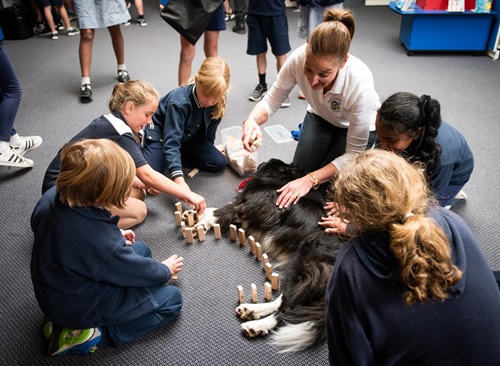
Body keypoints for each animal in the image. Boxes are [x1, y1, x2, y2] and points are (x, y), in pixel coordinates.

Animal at [197, 159, 342, 352]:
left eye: (273, 164)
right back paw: (251, 311)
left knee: (287, 311)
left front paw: (199, 223)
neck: (279, 181)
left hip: (303, 262)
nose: (263, 162)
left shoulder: (251, 206)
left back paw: (256, 326)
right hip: (302, 274)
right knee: (285, 301)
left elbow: (221, 210)